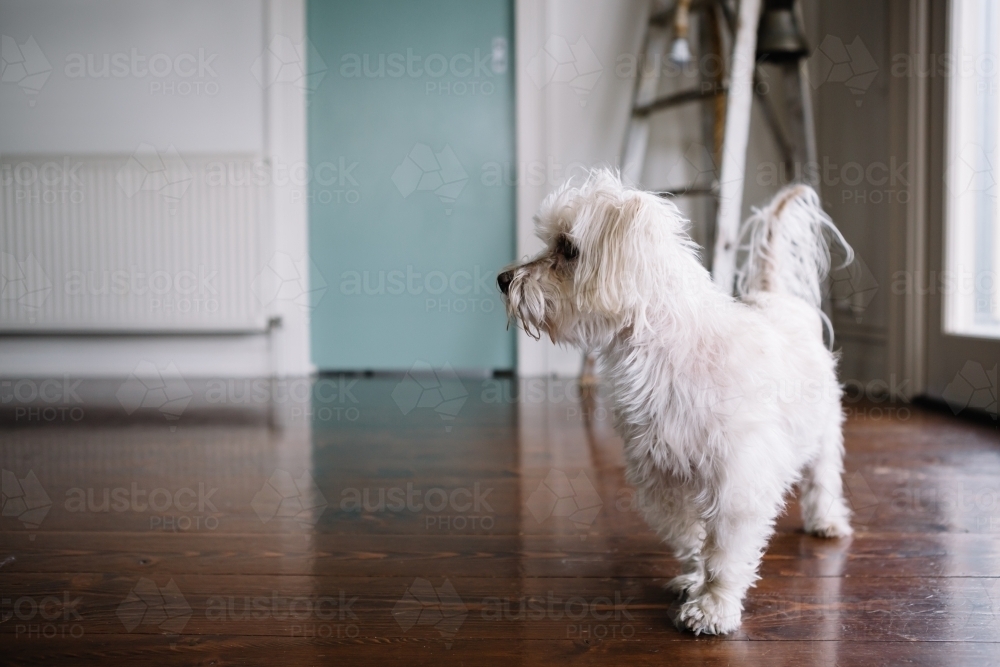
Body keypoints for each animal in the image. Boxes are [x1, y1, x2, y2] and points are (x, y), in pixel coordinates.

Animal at [498, 171, 852, 636]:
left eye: (568, 248)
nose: (502, 280)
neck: (660, 355)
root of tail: (775, 297)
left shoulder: (737, 480)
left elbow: (724, 553)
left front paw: (713, 608)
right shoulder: (663, 477)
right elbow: (691, 539)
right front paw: (693, 579)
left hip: (824, 428)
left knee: (822, 479)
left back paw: (826, 521)